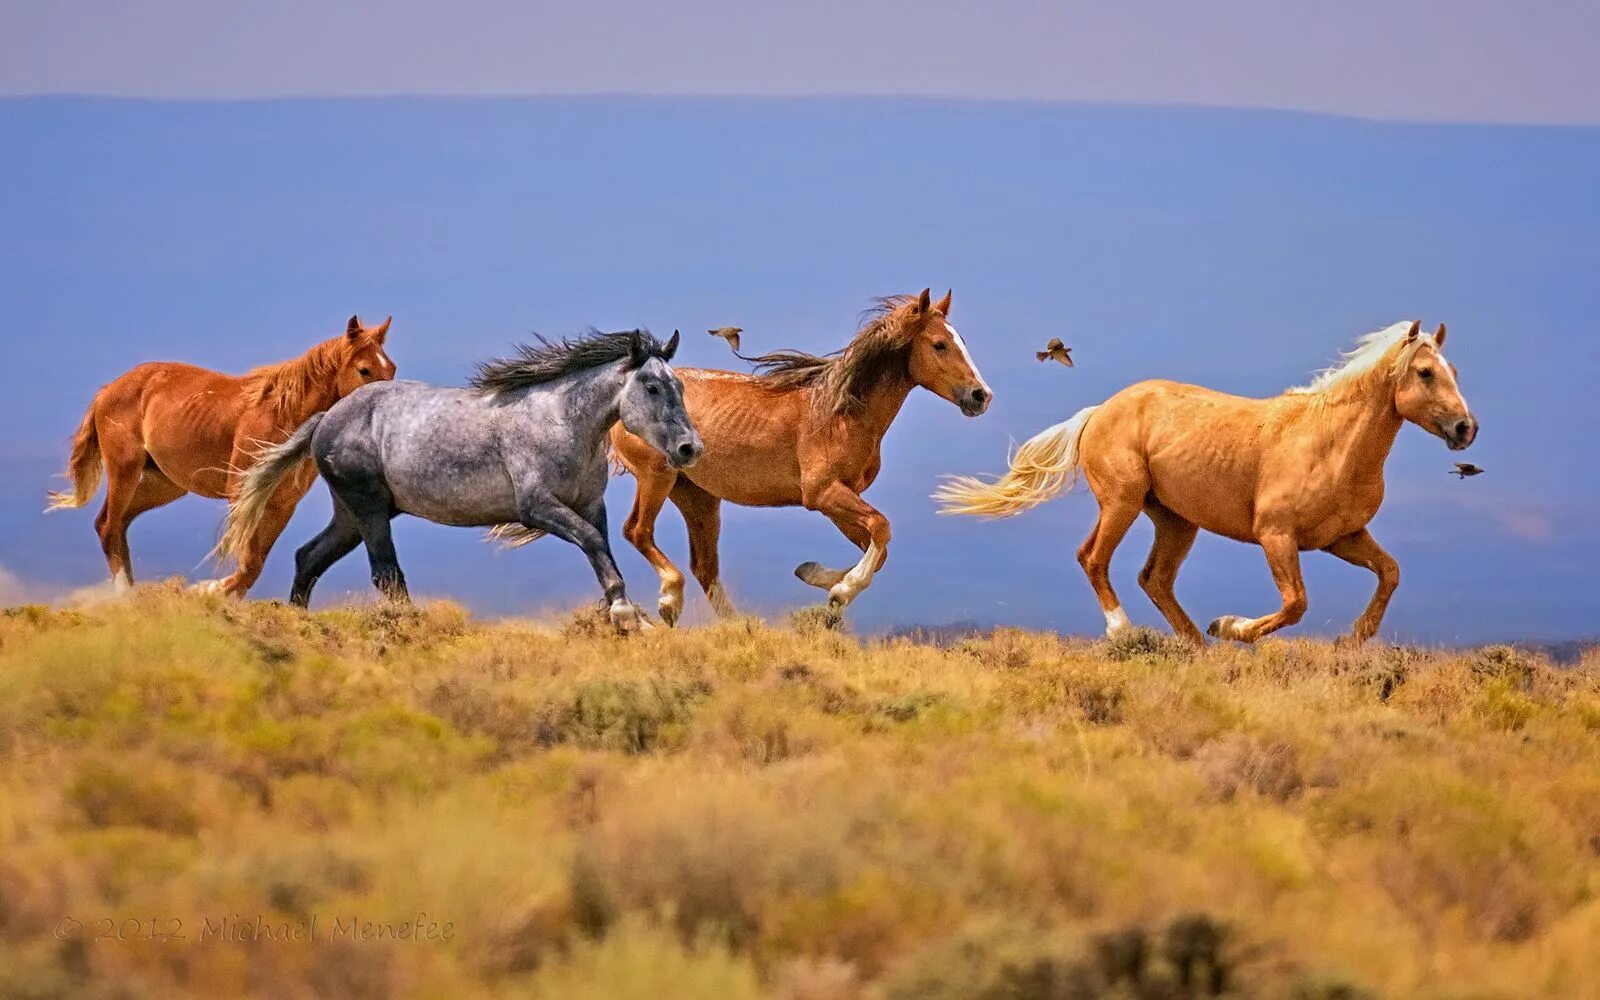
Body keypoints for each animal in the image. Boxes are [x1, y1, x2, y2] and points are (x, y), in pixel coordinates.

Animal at [46, 313, 396, 592]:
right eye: (364, 370)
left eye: (390, 369)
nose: (384, 408)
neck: (283, 415)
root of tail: (109, 389)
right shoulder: (242, 495)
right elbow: (247, 560)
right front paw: (207, 591)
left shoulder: (281, 506)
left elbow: (254, 565)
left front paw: (213, 594)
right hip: (125, 470)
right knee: (108, 525)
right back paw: (126, 597)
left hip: (164, 485)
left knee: (117, 526)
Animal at [220, 328, 700, 624]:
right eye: (652, 387)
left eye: (679, 386)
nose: (689, 448)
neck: (561, 420)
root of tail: (327, 418)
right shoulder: (538, 508)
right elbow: (594, 544)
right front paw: (624, 615)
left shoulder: (588, 504)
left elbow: (601, 548)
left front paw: (631, 616)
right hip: (368, 509)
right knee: (385, 574)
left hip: (353, 515)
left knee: (309, 557)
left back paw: (298, 619)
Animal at [604, 284, 992, 620]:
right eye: (939, 345)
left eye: (961, 341)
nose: (981, 396)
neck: (841, 414)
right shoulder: (822, 493)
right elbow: (881, 528)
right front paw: (841, 591)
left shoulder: (839, 498)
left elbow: (877, 546)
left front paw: (816, 576)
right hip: (657, 476)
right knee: (637, 532)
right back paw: (668, 601)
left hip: (697, 496)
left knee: (704, 565)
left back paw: (738, 625)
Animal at [934, 321, 1472, 646]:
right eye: (1425, 373)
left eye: (1454, 370)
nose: (1466, 428)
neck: (1330, 443)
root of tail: (1099, 411)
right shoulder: (1276, 536)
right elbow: (1296, 603)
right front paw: (1231, 627)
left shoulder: (1342, 537)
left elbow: (1390, 573)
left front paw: (1352, 639)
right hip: (1122, 502)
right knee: (1094, 558)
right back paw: (1126, 632)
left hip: (1176, 521)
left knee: (1154, 578)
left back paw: (1194, 645)